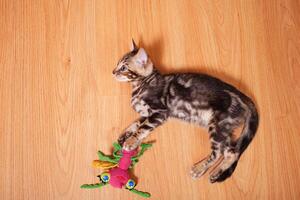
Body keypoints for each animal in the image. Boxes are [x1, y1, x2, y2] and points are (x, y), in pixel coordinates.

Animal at [112, 39, 258, 183]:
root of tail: (243, 97)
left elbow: (142, 128)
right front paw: (126, 135)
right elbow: (137, 123)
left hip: (218, 125)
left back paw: (199, 169)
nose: (113, 72)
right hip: (224, 130)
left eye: (123, 68)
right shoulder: (149, 114)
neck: (142, 84)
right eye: (117, 63)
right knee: (232, 152)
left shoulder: (160, 112)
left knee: (218, 153)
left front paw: (131, 141)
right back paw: (216, 173)